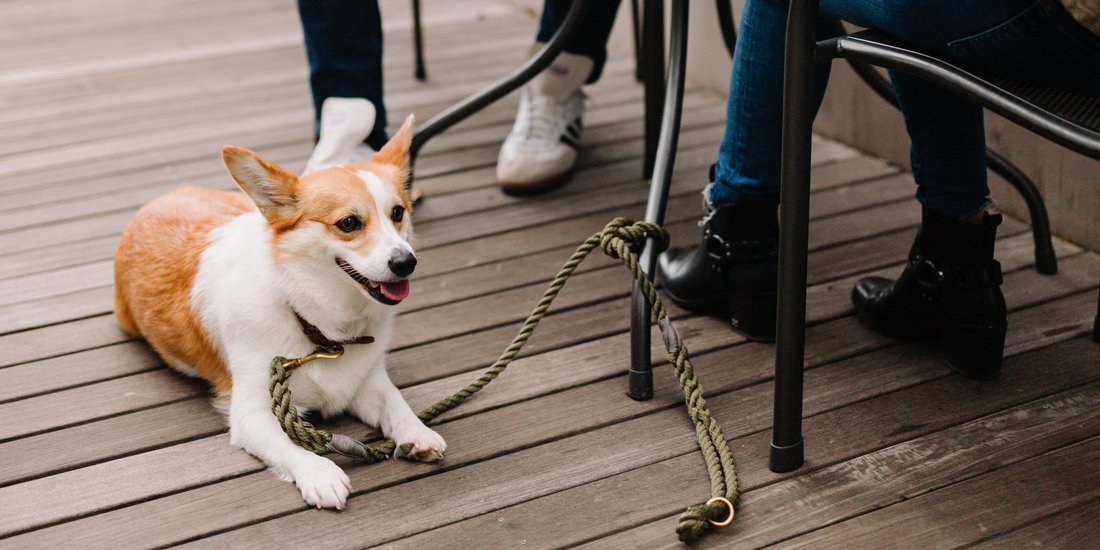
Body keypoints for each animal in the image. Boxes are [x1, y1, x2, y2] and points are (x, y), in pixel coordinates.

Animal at [113, 116, 444, 510]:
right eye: (348, 223)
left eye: (398, 213)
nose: (406, 262)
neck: (316, 321)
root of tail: (157, 199)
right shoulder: (252, 413)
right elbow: (291, 447)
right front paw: (320, 474)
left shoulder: (368, 382)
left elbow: (396, 402)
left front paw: (418, 432)